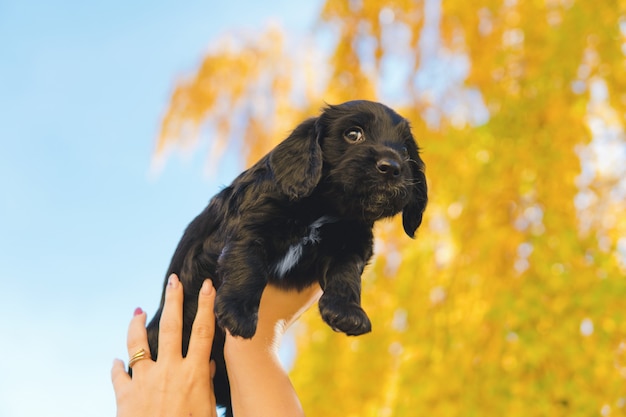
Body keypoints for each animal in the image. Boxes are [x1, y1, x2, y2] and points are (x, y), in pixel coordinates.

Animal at [144, 100, 426, 410]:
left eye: (406, 150)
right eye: (353, 134)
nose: (393, 168)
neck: (325, 208)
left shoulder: (352, 242)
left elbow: (346, 274)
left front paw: (347, 312)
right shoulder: (252, 222)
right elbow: (249, 265)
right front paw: (239, 313)